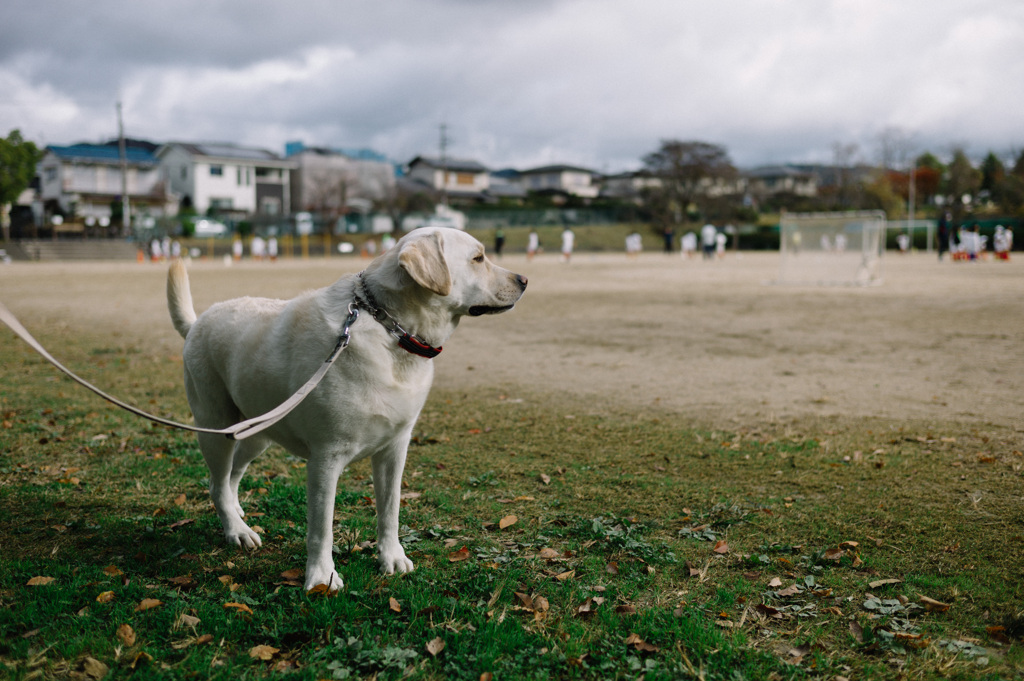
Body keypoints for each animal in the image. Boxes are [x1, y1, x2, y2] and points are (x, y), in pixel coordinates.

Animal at [165, 228, 528, 589]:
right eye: (478, 258)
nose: (524, 279)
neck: (390, 330)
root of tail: (197, 323)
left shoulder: (394, 450)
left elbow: (390, 511)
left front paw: (391, 557)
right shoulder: (326, 458)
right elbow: (321, 528)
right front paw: (321, 576)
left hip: (257, 433)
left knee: (233, 475)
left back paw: (238, 515)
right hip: (216, 428)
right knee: (216, 483)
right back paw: (237, 531)